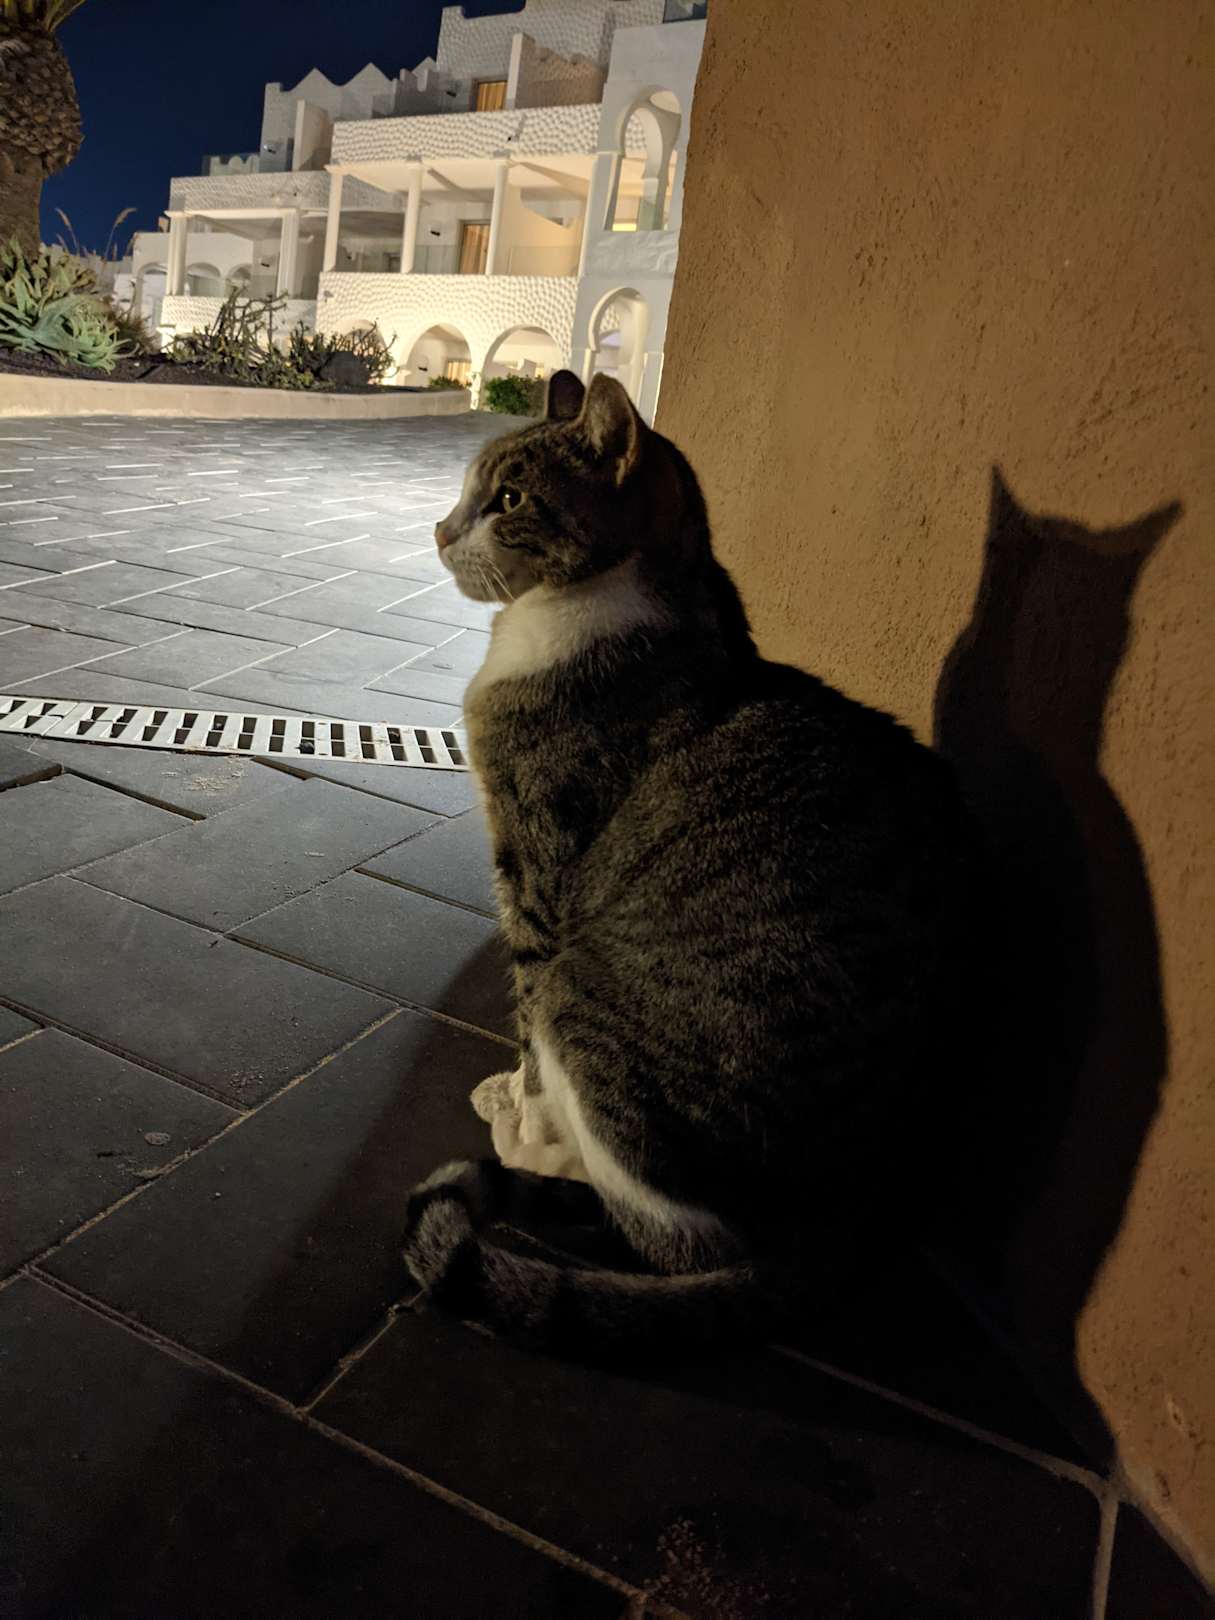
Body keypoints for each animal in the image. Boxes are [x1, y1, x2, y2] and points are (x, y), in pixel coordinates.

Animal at [401, 370, 978, 1356]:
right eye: (471, 491)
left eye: (506, 500)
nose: (440, 529)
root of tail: (850, 1209)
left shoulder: (535, 869)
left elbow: (523, 1014)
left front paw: (523, 1106)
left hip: (589, 995)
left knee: (668, 1235)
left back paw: (539, 1151)